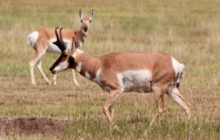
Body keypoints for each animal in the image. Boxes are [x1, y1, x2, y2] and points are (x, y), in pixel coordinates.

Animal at [49, 27, 191, 126]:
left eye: (65, 55)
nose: (51, 69)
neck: (100, 63)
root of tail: (175, 63)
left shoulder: (117, 89)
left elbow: (104, 108)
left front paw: (116, 127)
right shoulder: (114, 92)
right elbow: (111, 109)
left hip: (158, 89)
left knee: (161, 109)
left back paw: (147, 129)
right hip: (170, 90)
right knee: (187, 105)